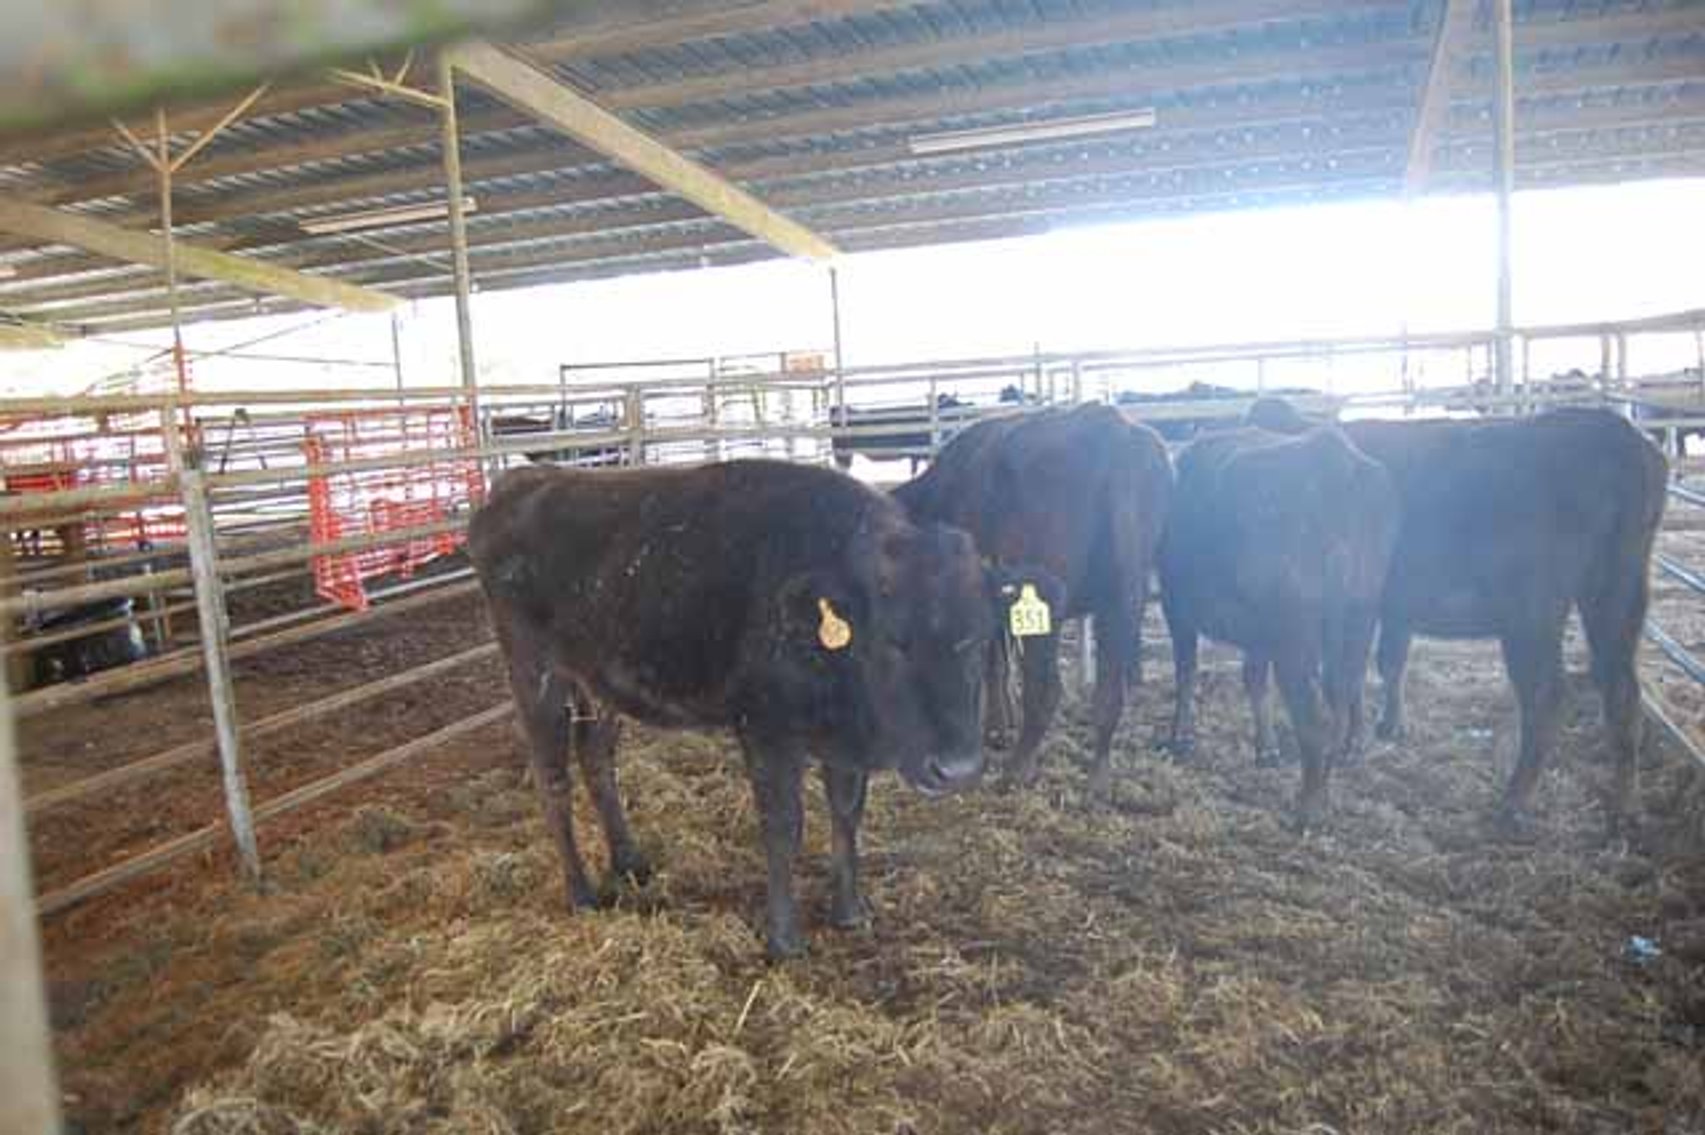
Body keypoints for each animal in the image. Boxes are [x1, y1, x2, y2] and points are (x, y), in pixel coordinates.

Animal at [468, 459, 1007, 960]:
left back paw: (630, 862)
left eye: (980, 637)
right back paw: (581, 893)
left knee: (597, 760)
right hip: (535, 674)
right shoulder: (766, 729)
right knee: (553, 779)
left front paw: (850, 911)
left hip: (597, 683)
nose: (957, 769)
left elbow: (846, 813)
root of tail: (526, 479)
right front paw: (784, 941)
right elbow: (784, 826)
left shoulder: (840, 741)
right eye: (895, 643)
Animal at [893, 403, 1173, 798]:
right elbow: (997, 659)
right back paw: (1097, 780)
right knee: (1109, 694)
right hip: (1123, 599)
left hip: (1047, 605)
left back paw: (1017, 771)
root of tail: (1110, 426)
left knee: (1046, 690)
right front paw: (999, 723)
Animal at [1158, 424, 1398, 829]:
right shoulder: (1259, 633)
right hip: (1358, 619)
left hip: (1295, 640)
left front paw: (1180, 738)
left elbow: (1187, 670)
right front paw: (1266, 749)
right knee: (1344, 695)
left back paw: (1308, 809)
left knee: (1315, 719)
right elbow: (1254, 679)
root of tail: (1335, 461)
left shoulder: (1177, 606)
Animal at [1249, 401, 1668, 832]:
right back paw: (1624, 806)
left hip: (1532, 616)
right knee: (1622, 692)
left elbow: (1351, 674)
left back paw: (1514, 800)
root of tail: (1616, 432)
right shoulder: (1392, 609)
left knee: (1546, 696)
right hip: (1617, 596)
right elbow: (1387, 662)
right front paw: (1387, 727)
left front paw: (1354, 739)